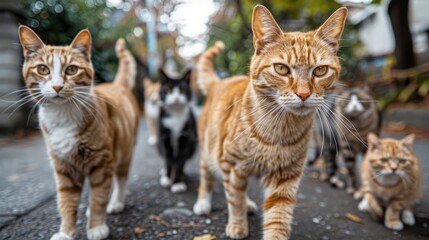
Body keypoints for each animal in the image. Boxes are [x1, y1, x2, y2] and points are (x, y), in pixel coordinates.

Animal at [18, 26, 139, 240]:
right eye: (43, 69)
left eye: (71, 70)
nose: (57, 86)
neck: (62, 117)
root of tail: (116, 84)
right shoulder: (63, 168)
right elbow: (66, 202)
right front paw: (65, 232)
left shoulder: (102, 162)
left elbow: (99, 197)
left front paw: (96, 227)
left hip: (123, 151)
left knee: (120, 179)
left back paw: (116, 202)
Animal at [192, 4, 346, 240]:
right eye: (281, 69)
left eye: (320, 70)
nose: (304, 94)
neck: (280, 129)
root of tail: (219, 81)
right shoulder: (231, 163)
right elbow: (234, 199)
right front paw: (237, 224)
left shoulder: (285, 177)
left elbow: (278, 217)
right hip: (209, 152)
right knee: (208, 178)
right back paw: (203, 202)